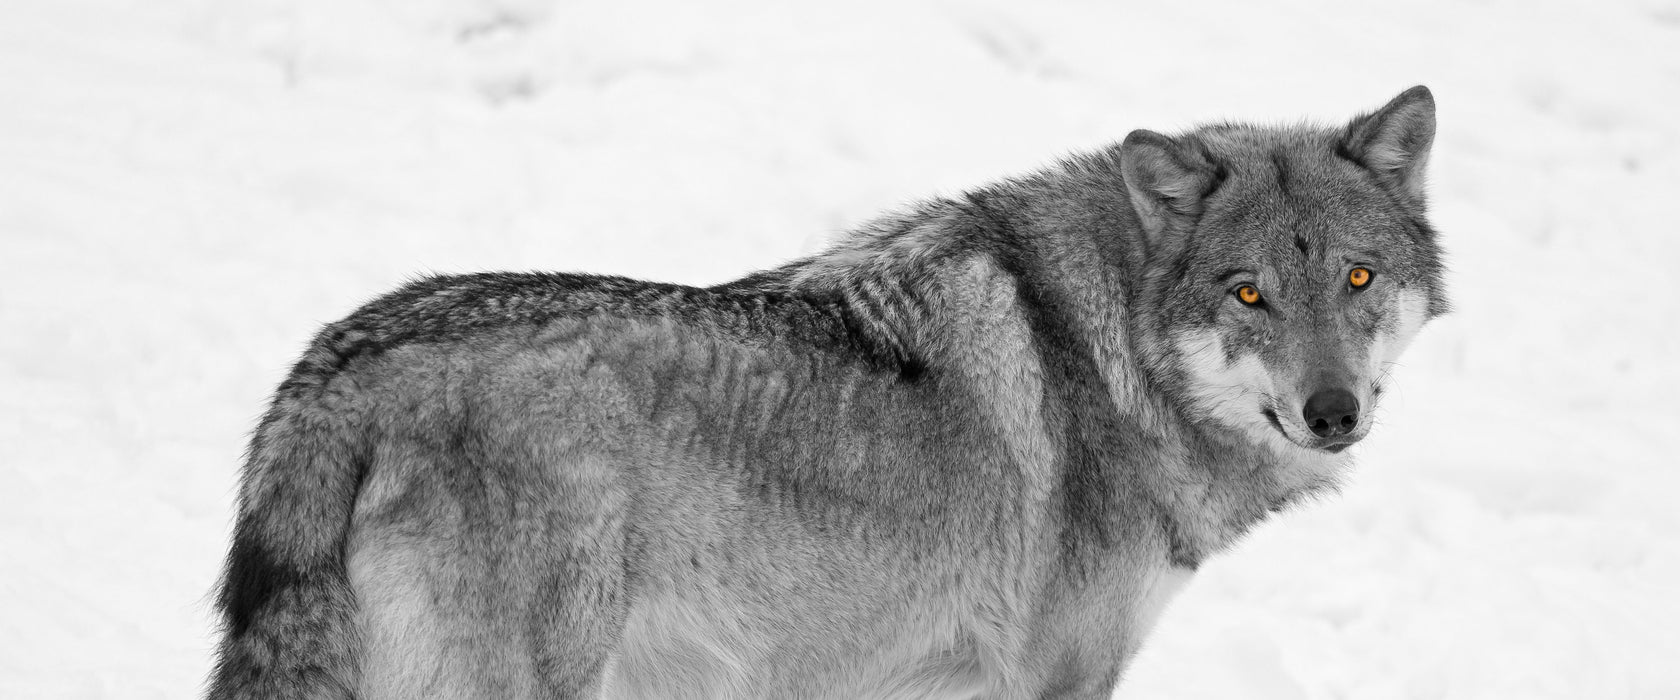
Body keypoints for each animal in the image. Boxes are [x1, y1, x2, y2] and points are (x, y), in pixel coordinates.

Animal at [206, 86, 1444, 698]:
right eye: (1249, 293)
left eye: (1357, 277)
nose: (1334, 412)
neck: (1112, 354)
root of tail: (336, 369)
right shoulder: (1058, 682)